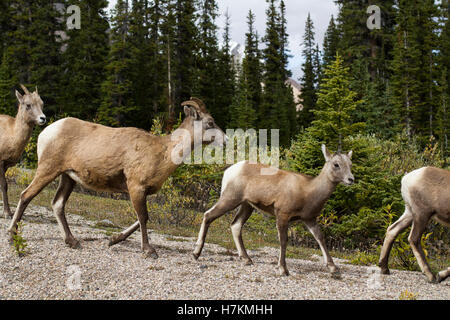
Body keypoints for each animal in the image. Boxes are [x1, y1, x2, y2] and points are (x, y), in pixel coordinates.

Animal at [0, 84, 46, 219]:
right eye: (28, 105)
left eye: (42, 104)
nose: (43, 118)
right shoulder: (1, 162)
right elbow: (4, 185)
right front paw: (7, 213)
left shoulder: (6, 165)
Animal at [9, 97, 229, 258]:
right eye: (210, 122)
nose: (226, 140)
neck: (162, 153)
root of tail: (46, 133)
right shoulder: (136, 187)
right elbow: (144, 218)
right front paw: (149, 251)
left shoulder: (141, 191)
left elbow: (140, 219)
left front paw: (113, 240)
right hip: (48, 170)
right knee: (26, 195)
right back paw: (12, 235)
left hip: (68, 177)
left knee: (57, 204)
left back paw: (73, 242)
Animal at [193, 144, 356, 276]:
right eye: (336, 164)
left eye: (350, 164)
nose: (351, 179)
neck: (309, 192)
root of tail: (229, 171)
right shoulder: (283, 213)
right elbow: (283, 240)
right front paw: (283, 269)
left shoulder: (309, 218)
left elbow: (320, 238)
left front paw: (334, 268)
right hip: (230, 198)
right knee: (208, 215)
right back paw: (196, 253)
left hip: (247, 205)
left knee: (235, 225)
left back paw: (247, 259)